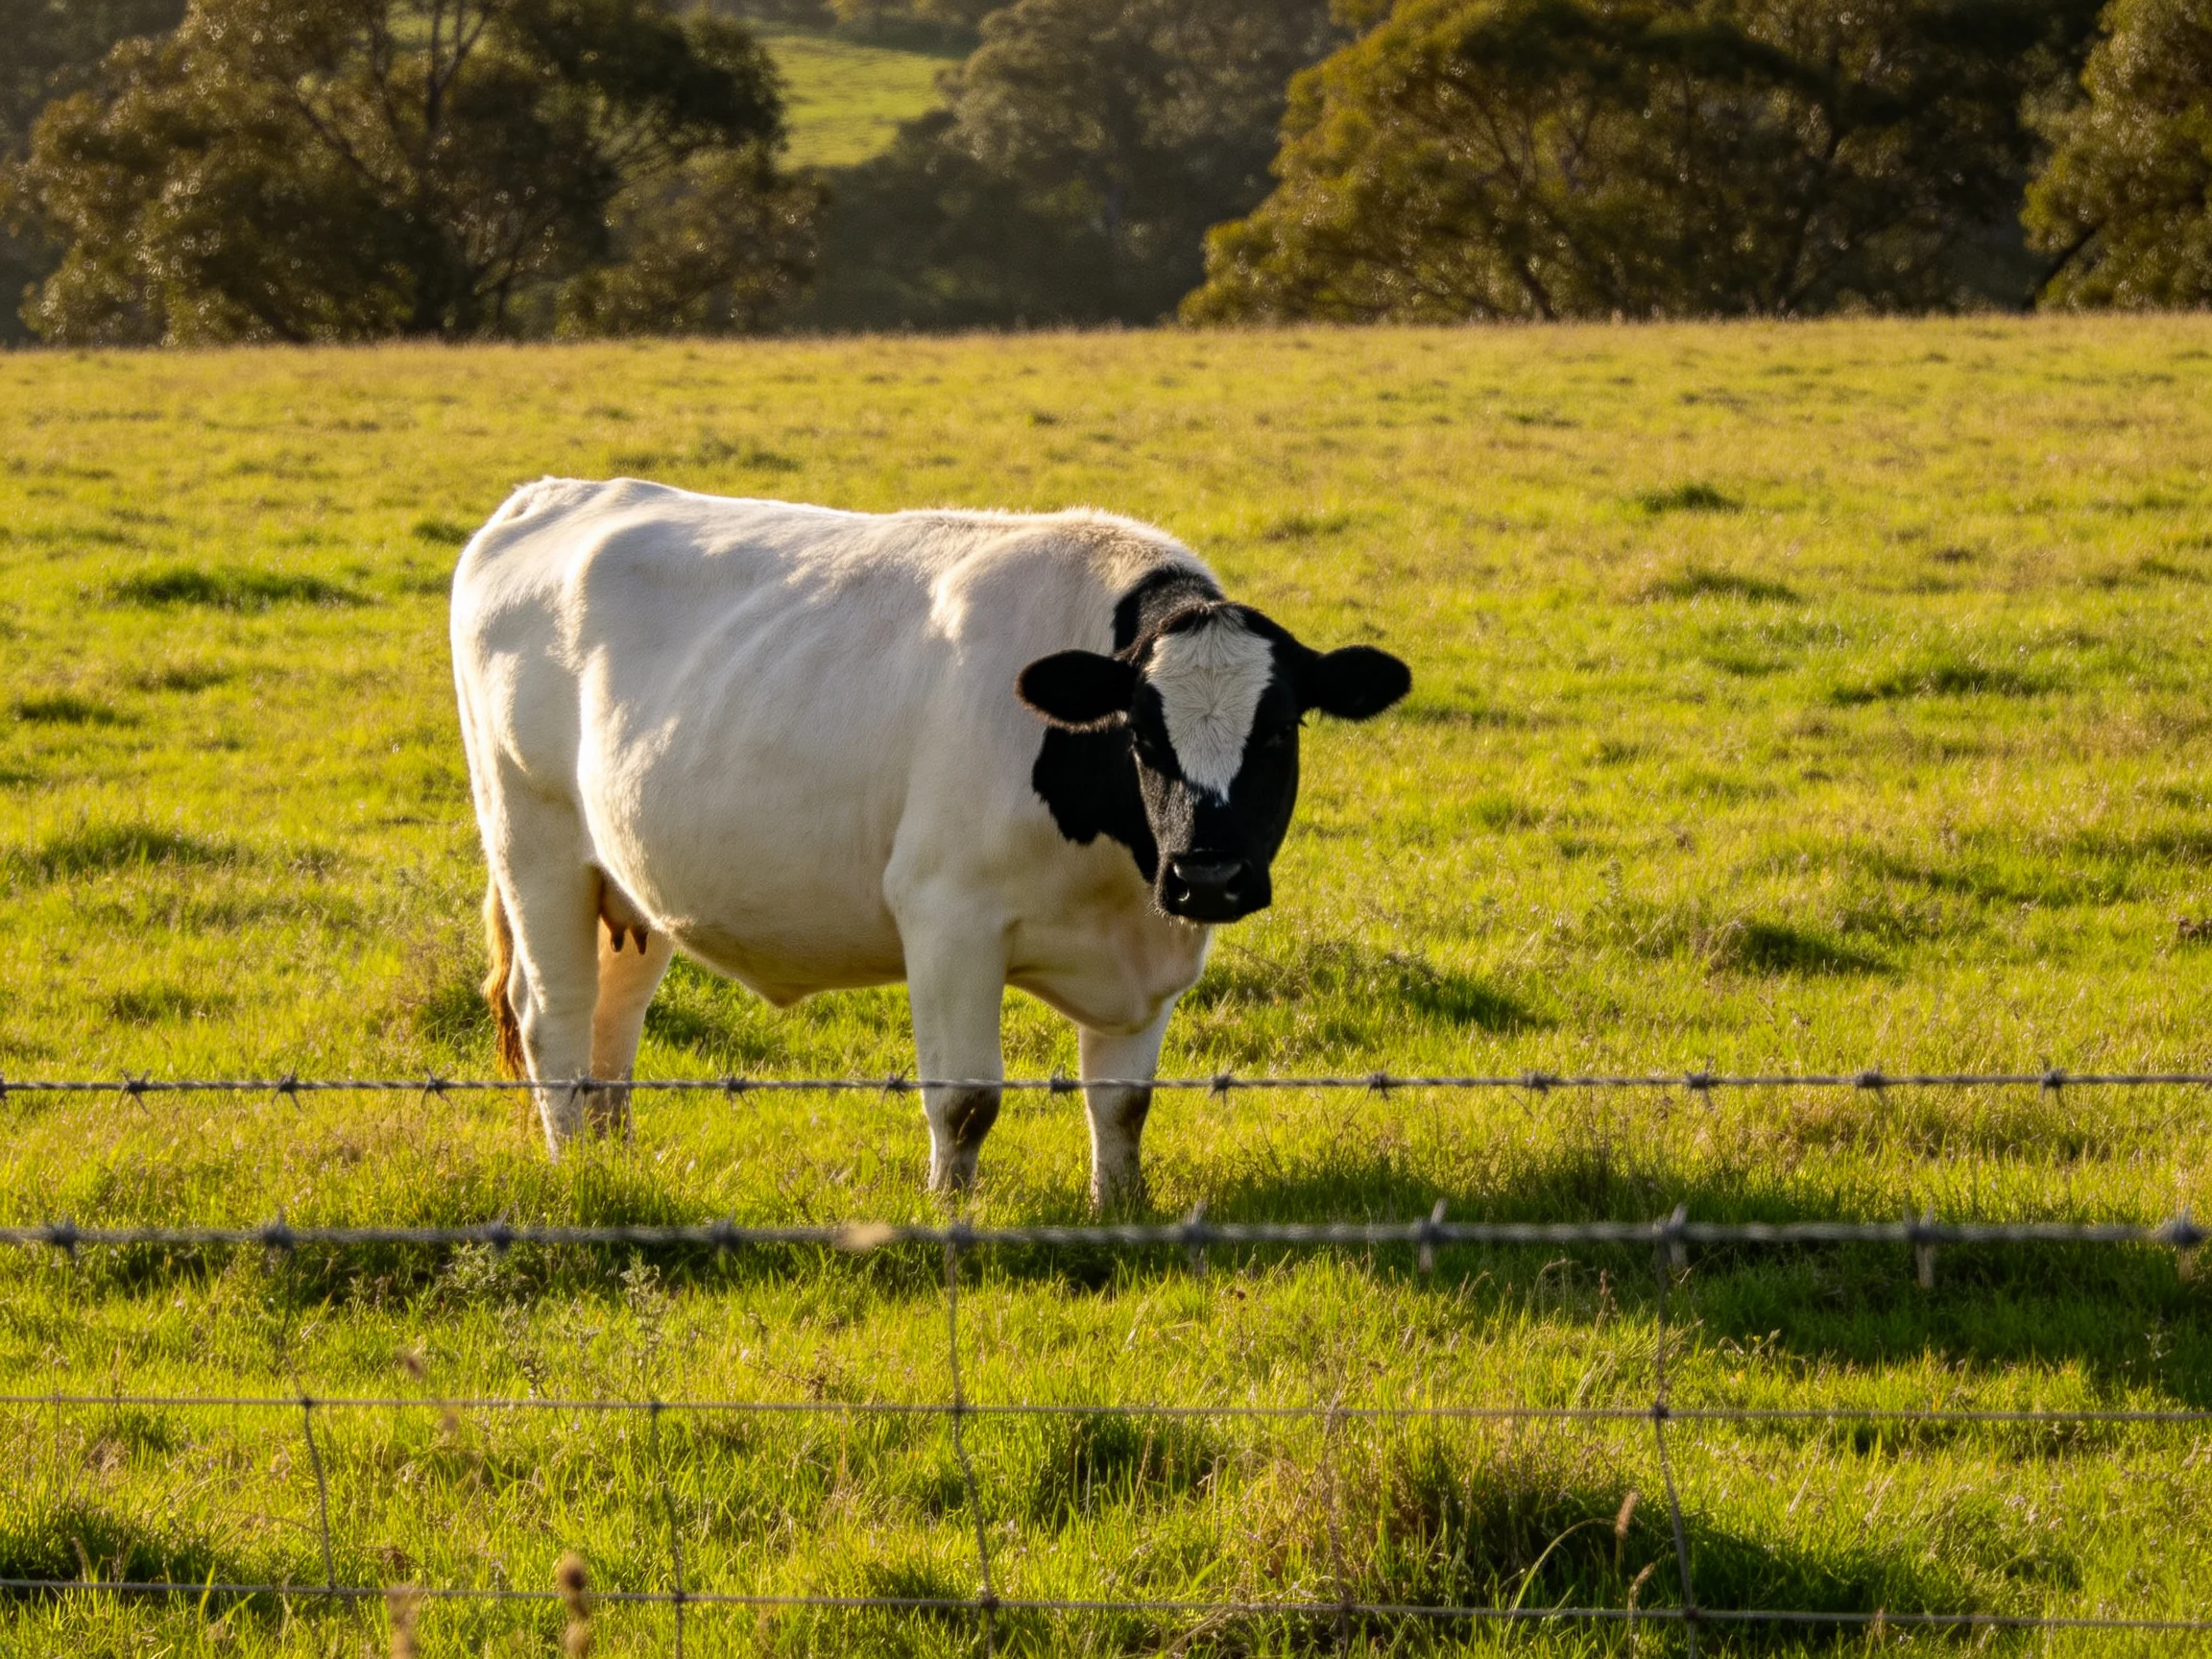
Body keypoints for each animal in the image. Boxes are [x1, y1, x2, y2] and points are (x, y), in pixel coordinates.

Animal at [451, 478, 1409, 1207]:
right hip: (534, 843)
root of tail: (551, 493)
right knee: (554, 1016)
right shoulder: (948, 917)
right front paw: (951, 1212)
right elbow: (965, 1100)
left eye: (1280, 732)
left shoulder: (1151, 943)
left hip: (629, 879)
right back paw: (574, 1169)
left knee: (614, 1019)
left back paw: (614, 1158)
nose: (1207, 875)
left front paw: (1122, 1208)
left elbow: (1124, 1103)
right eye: (1139, 734)